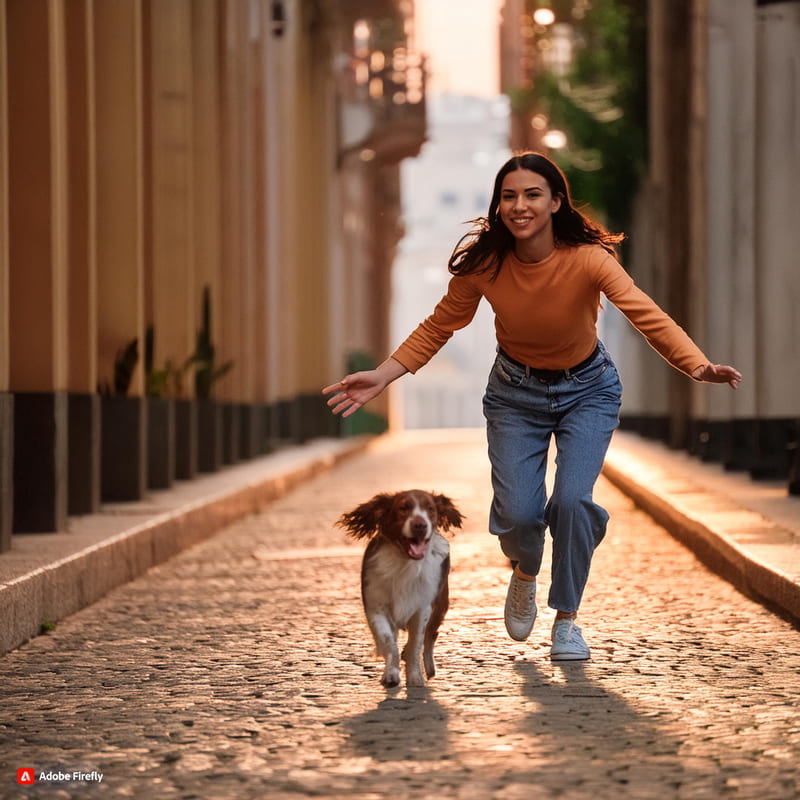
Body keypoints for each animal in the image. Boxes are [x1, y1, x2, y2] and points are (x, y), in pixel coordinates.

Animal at [336, 488, 462, 688]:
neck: (405, 563)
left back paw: (429, 668)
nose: (420, 525)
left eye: (430, 509)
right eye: (403, 508)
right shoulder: (376, 607)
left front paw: (416, 677)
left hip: (440, 606)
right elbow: (389, 642)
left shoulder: (423, 608)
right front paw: (391, 674)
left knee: (430, 637)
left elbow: (416, 644)